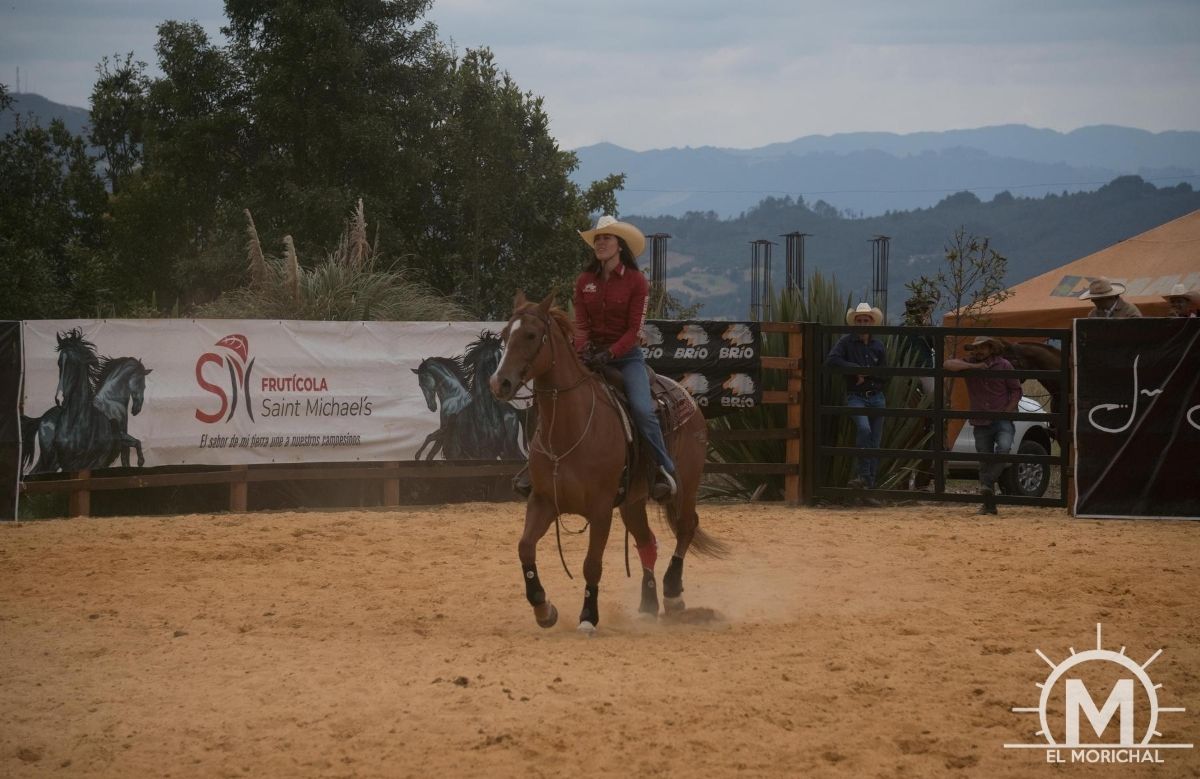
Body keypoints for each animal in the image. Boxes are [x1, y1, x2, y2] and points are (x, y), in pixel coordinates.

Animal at [484, 291, 720, 633]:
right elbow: (525, 547)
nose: (499, 383)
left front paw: (587, 616)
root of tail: (686, 397)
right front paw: (544, 608)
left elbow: (591, 564)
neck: (570, 429)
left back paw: (673, 593)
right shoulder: (542, 501)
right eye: (504, 334)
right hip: (632, 502)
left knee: (687, 527)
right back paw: (648, 604)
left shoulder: (600, 510)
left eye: (530, 335)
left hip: (686, 486)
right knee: (647, 542)